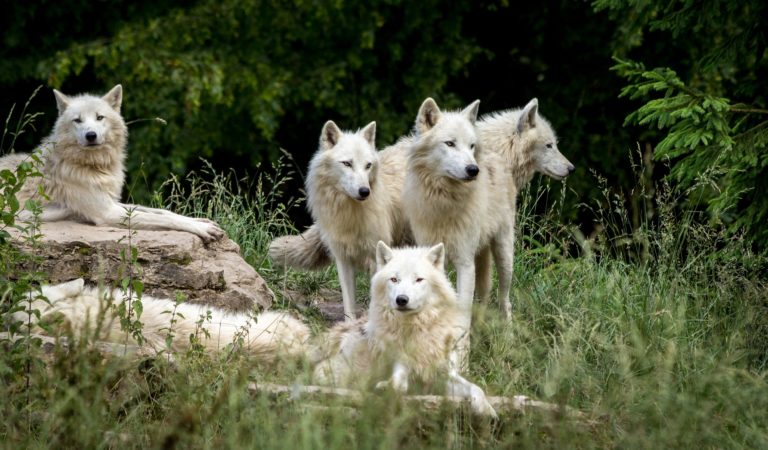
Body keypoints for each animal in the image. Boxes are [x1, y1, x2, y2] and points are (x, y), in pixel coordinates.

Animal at [0, 85, 225, 243]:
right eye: (77, 120)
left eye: (100, 117)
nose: (91, 135)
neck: (94, 167)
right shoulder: (108, 213)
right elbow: (163, 218)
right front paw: (203, 229)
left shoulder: (113, 202)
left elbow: (161, 211)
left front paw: (201, 221)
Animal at [272, 121, 412, 322]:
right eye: (347, 163)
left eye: (368, 165)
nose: (364, 191)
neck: (349, 214)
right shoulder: (343, 257)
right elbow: (348, 304)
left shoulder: (375, 259)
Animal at [312, 243, 498, 418]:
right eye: (394, 279)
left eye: (419, 279)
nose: (401, 299)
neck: (418, 329)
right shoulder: (401, 364)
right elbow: (399, 383)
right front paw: (387, 387)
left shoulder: (444, 376)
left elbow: (476, 388)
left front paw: (486, 409)